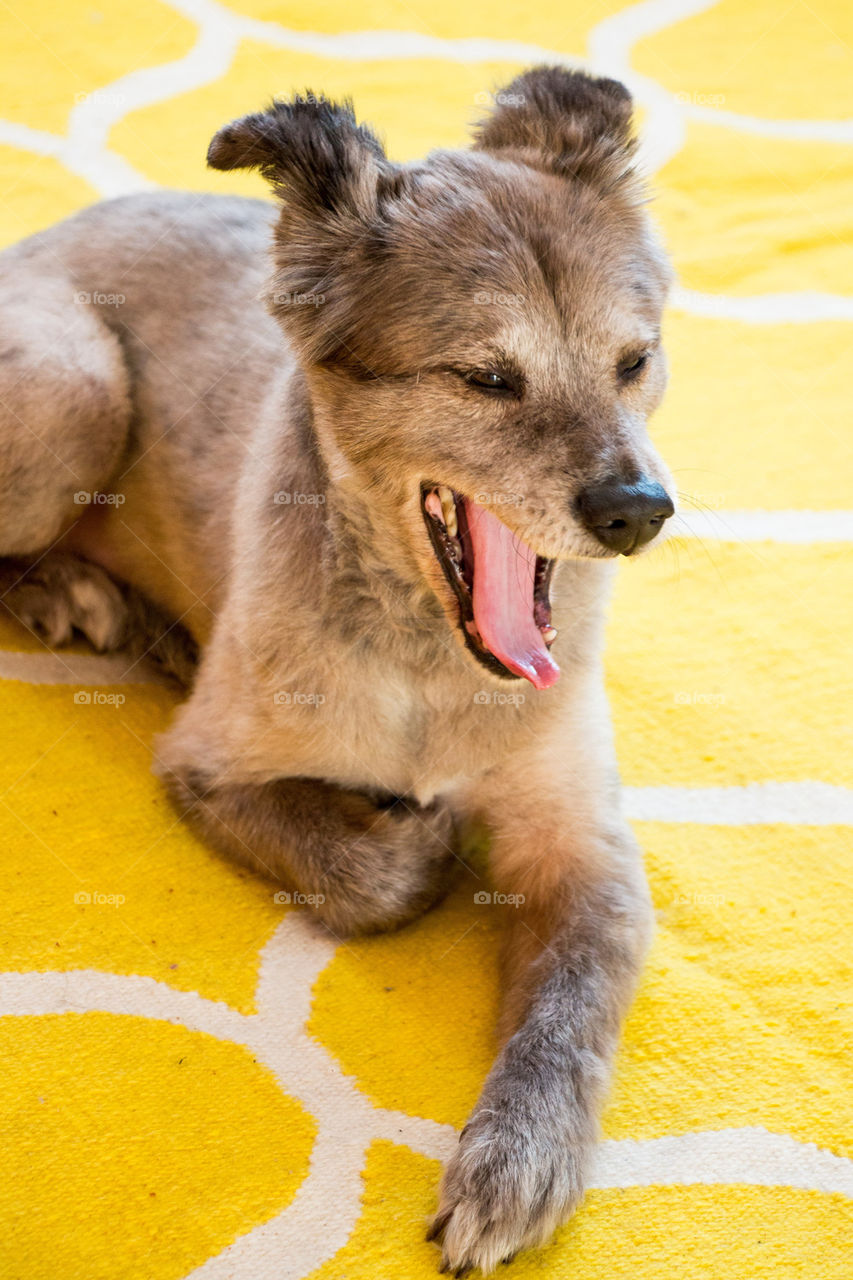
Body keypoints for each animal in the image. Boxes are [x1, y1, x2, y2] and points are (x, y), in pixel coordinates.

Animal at [1, 67, 676, 1269]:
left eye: (632, 361)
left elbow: (571, 1006)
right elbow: (375, 876)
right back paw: (74, 595)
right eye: (484, 378)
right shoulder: (205, 766)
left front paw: (521, 1158)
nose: (638, 512)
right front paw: (416, 835)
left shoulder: (586, 849)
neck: (429, 661)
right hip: (73, 387)